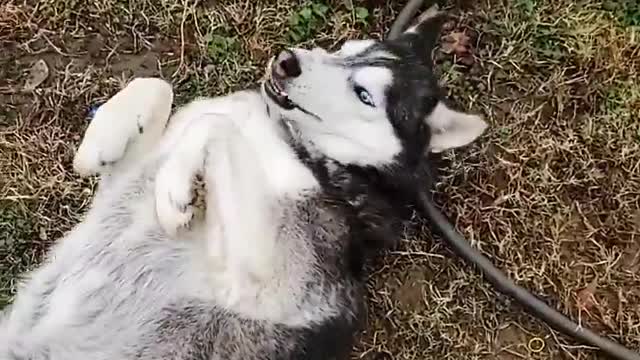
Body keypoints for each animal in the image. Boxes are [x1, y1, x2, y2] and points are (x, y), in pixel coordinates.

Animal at [0, 9, 484, 360]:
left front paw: (176, 191)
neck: (292, 139)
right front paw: (99, 140)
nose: (288, 61)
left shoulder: (260, 281)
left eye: (364, 95)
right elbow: (157, 83)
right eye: (345, 48)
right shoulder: (122, 186)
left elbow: (215, 125)